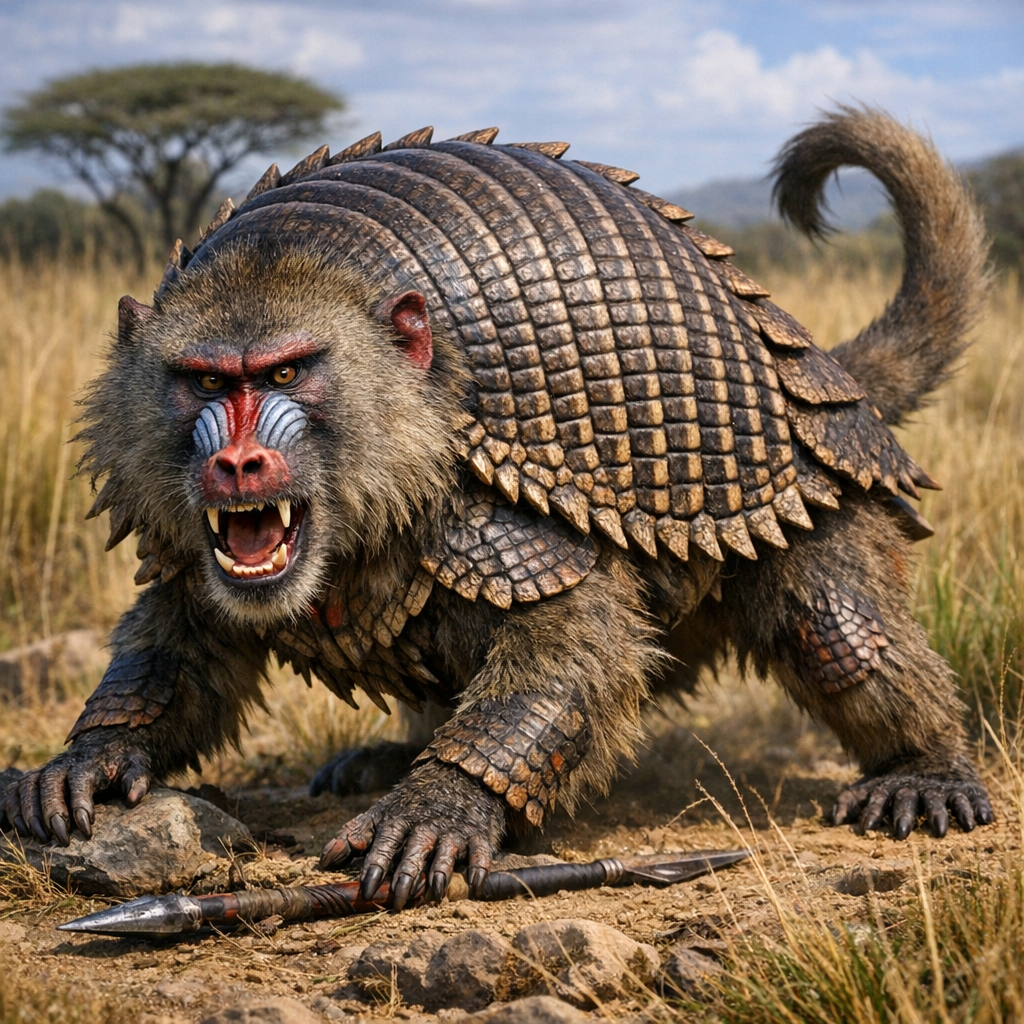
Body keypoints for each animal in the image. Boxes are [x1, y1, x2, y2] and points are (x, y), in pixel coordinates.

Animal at [3, 108, 993, 910]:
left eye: (284, 373)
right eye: (204, 381)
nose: (238, 464)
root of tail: (809, 360)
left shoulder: (499, 520)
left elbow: (567, 660)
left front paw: (436, 813)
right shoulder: (192, 565)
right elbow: (169, 656)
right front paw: (82, 763)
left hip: (805, 490)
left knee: (842, 633)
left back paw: (926, 775)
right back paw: (386, 755)